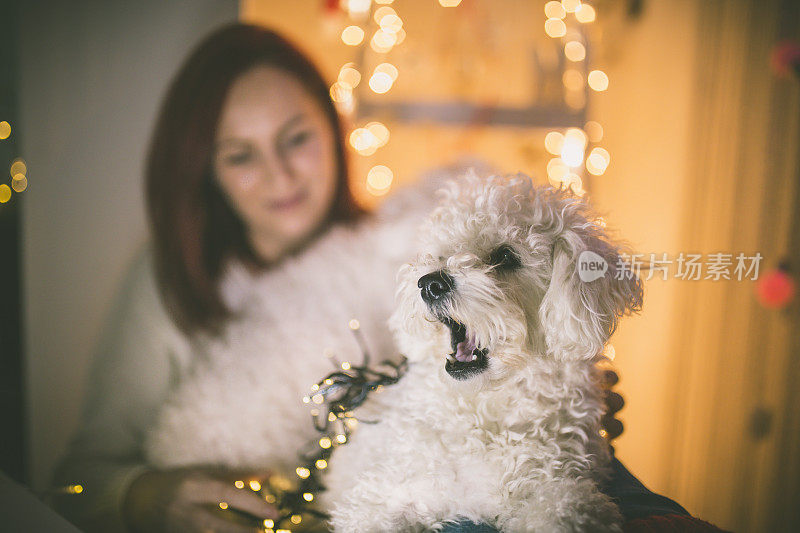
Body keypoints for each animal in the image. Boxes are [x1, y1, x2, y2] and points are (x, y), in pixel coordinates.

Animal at [322, 172, 640, 528]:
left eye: (505, 256)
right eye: (439, 254)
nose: (429, 283)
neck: (487, 403)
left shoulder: (561, 490)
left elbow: (561, 509)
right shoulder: (378, 496)